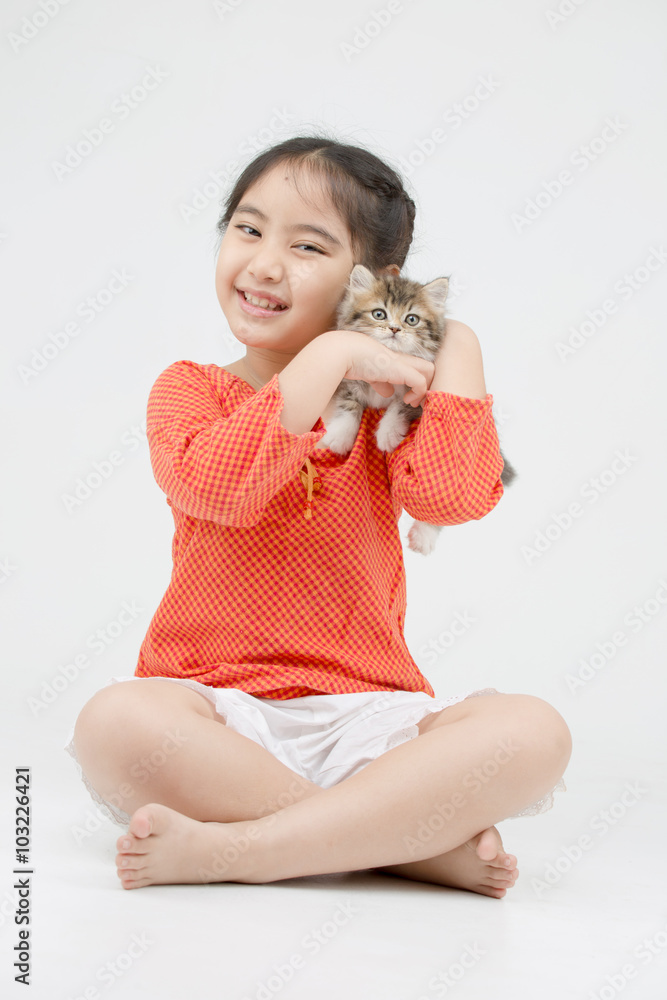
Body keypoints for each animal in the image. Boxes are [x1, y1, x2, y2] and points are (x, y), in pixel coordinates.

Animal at [318, 264, 516, 556]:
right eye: (379, 313)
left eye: (411, 319)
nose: (394, 329)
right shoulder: (350, 378)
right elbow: (350, 404)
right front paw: (341, 436)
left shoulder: (422, 393)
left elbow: (401, 406)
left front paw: (387, 433)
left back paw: (424, 537)